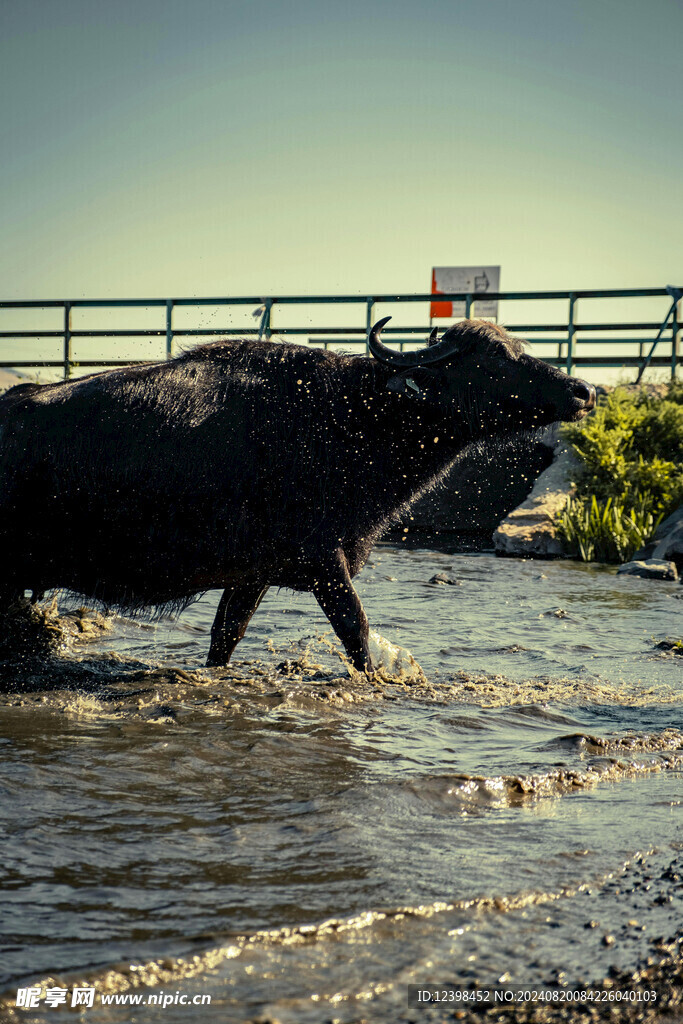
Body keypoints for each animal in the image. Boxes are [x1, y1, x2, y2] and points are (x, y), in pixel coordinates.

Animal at [0, 319, 593, 671]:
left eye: (519, 348)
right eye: (489, 359)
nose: (584, 390)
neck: (345, 418)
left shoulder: (253, 574)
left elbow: (225, 636)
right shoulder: (324, 561)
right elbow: (357, 632)